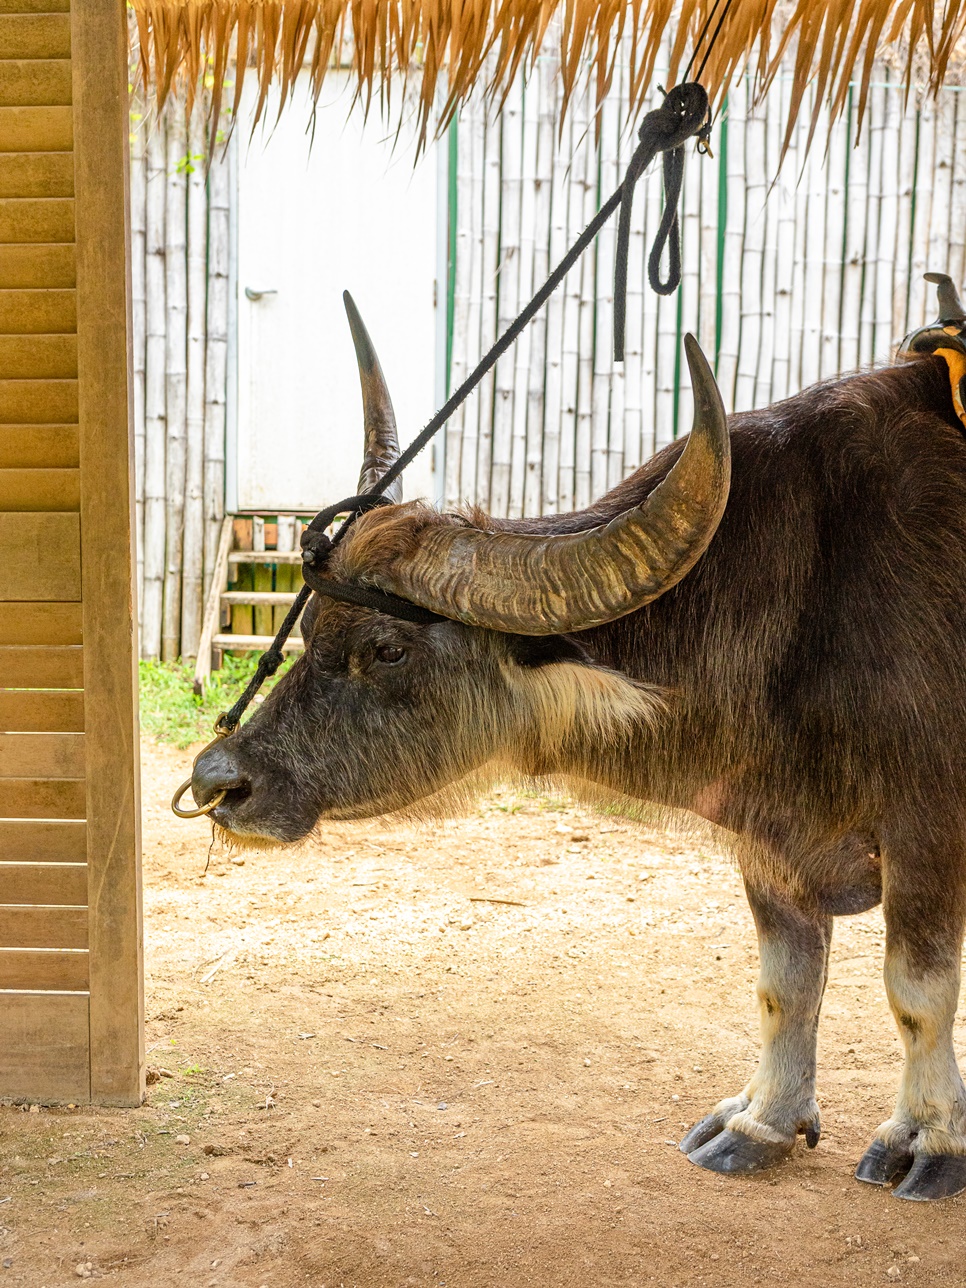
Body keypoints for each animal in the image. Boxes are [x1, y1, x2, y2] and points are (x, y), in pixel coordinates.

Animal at [190, 289, 966, 1195]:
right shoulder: (769, 843)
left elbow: (917, 992)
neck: (809, 592)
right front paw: (761, 1122)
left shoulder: (927, 829)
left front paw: (931, 1141)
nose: (218, 779)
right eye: (310, 628)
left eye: (387, 648)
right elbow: (786, 984)